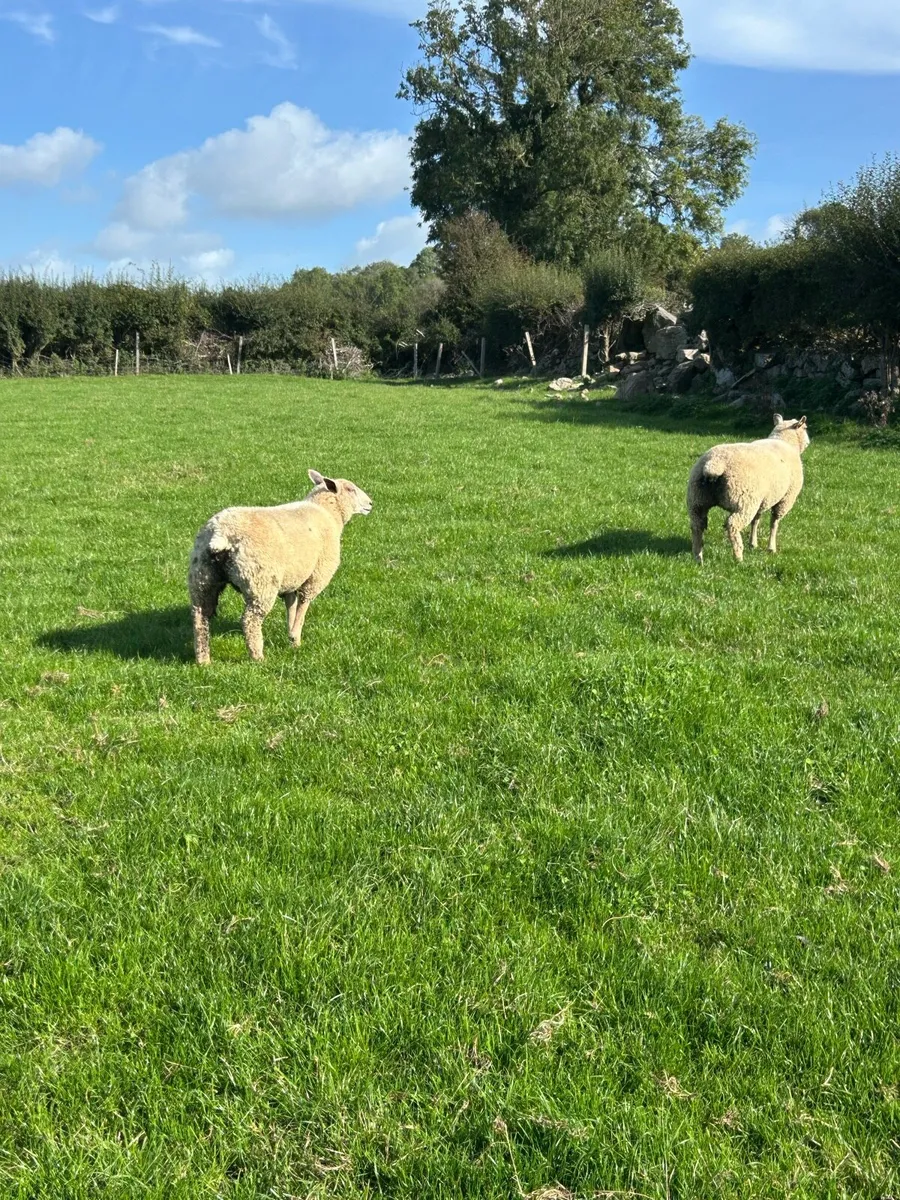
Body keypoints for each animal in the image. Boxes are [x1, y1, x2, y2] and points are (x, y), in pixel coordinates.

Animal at [188, 469, 372, 664]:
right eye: (350, 489)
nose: (370, 503)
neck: (328, 513)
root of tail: (220, 535)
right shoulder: (315, 576)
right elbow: (303, 604)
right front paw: (296, 638)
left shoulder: (291, 578)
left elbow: (290, 604)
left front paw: (290, 634)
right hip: (260, 582)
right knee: (250, 620)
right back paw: (258, 657)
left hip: (202, 578)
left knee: (200, 617)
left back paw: (203, 660)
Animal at [687, 413, 810, 564]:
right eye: (805, 427)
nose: (809, 442)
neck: (785, 441)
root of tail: (715, 463)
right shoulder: (785, 500)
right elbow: (774, 523)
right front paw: (771, 548)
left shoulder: (762, 501)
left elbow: (756, 521)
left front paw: (753, 543)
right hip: (744, 502)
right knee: (732, 525)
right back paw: (738, 557)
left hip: (697, 499)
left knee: (697, 525)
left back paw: (698, 557)